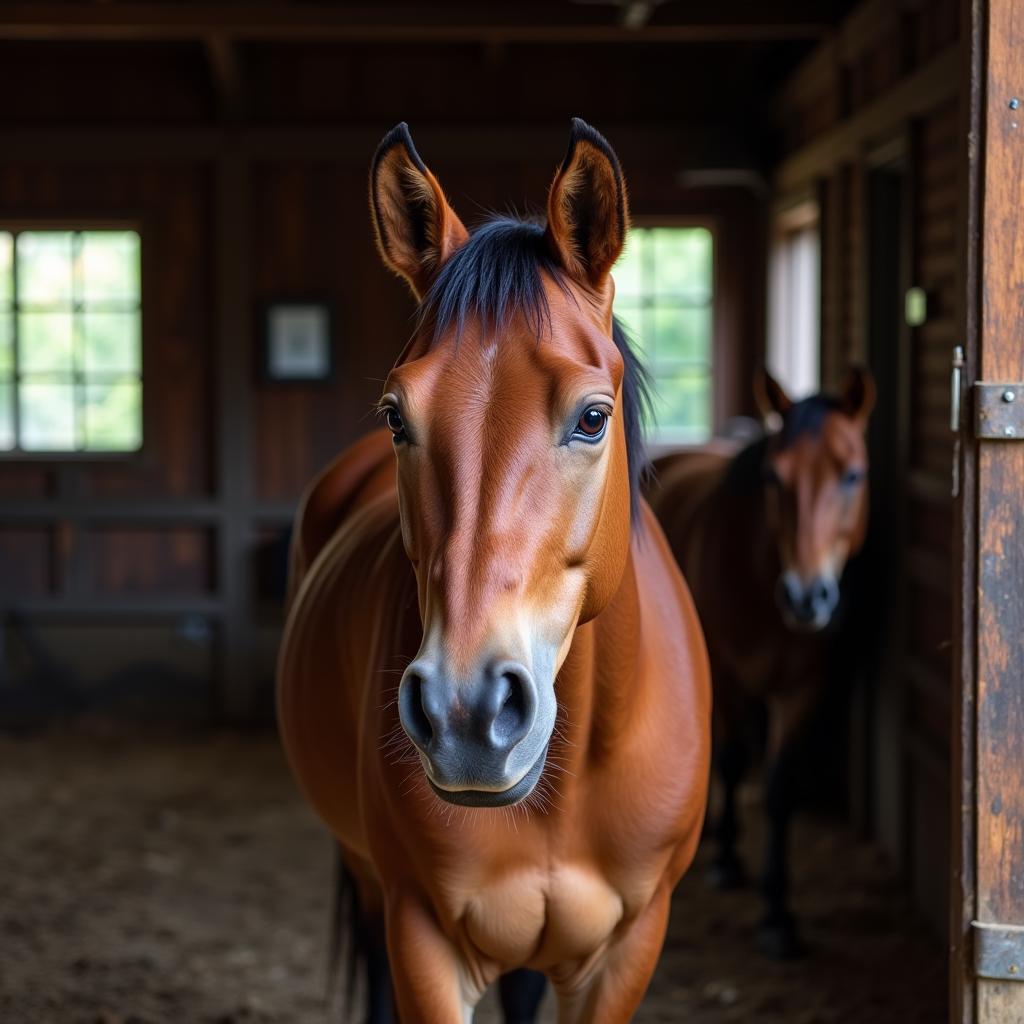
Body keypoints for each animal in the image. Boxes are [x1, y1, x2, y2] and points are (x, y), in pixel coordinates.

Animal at [278, 121, 712, 1024]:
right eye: (396, 415)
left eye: (593, 417)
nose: (468, 713)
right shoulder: (421, 938)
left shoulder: (627, 950)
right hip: (367, 882)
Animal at [647, 370, 872, 958]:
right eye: (775, 475)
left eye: (853, 475)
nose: (806, 597)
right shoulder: (726, 678)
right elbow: (729, 760)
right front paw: (726, 860)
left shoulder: (802, 689)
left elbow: (779, 788)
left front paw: (777, 912)